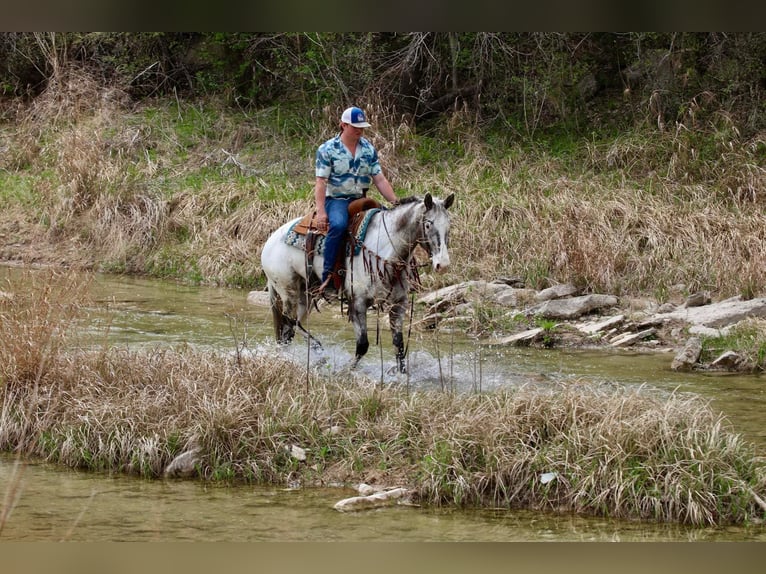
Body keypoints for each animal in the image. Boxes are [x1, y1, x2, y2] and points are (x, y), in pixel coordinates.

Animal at [260, 192, 455, 373]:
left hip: (305, 295)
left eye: (449, 226)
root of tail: (269, 242)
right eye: (428, 224)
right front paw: (346, 371)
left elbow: (398, 344)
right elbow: (362, 345)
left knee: (291, 328)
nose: (443, 264)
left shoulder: (398, 303)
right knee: (289, 322)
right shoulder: (358, 303)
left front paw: (401, 374)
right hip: (288, 291)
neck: (385, 249)